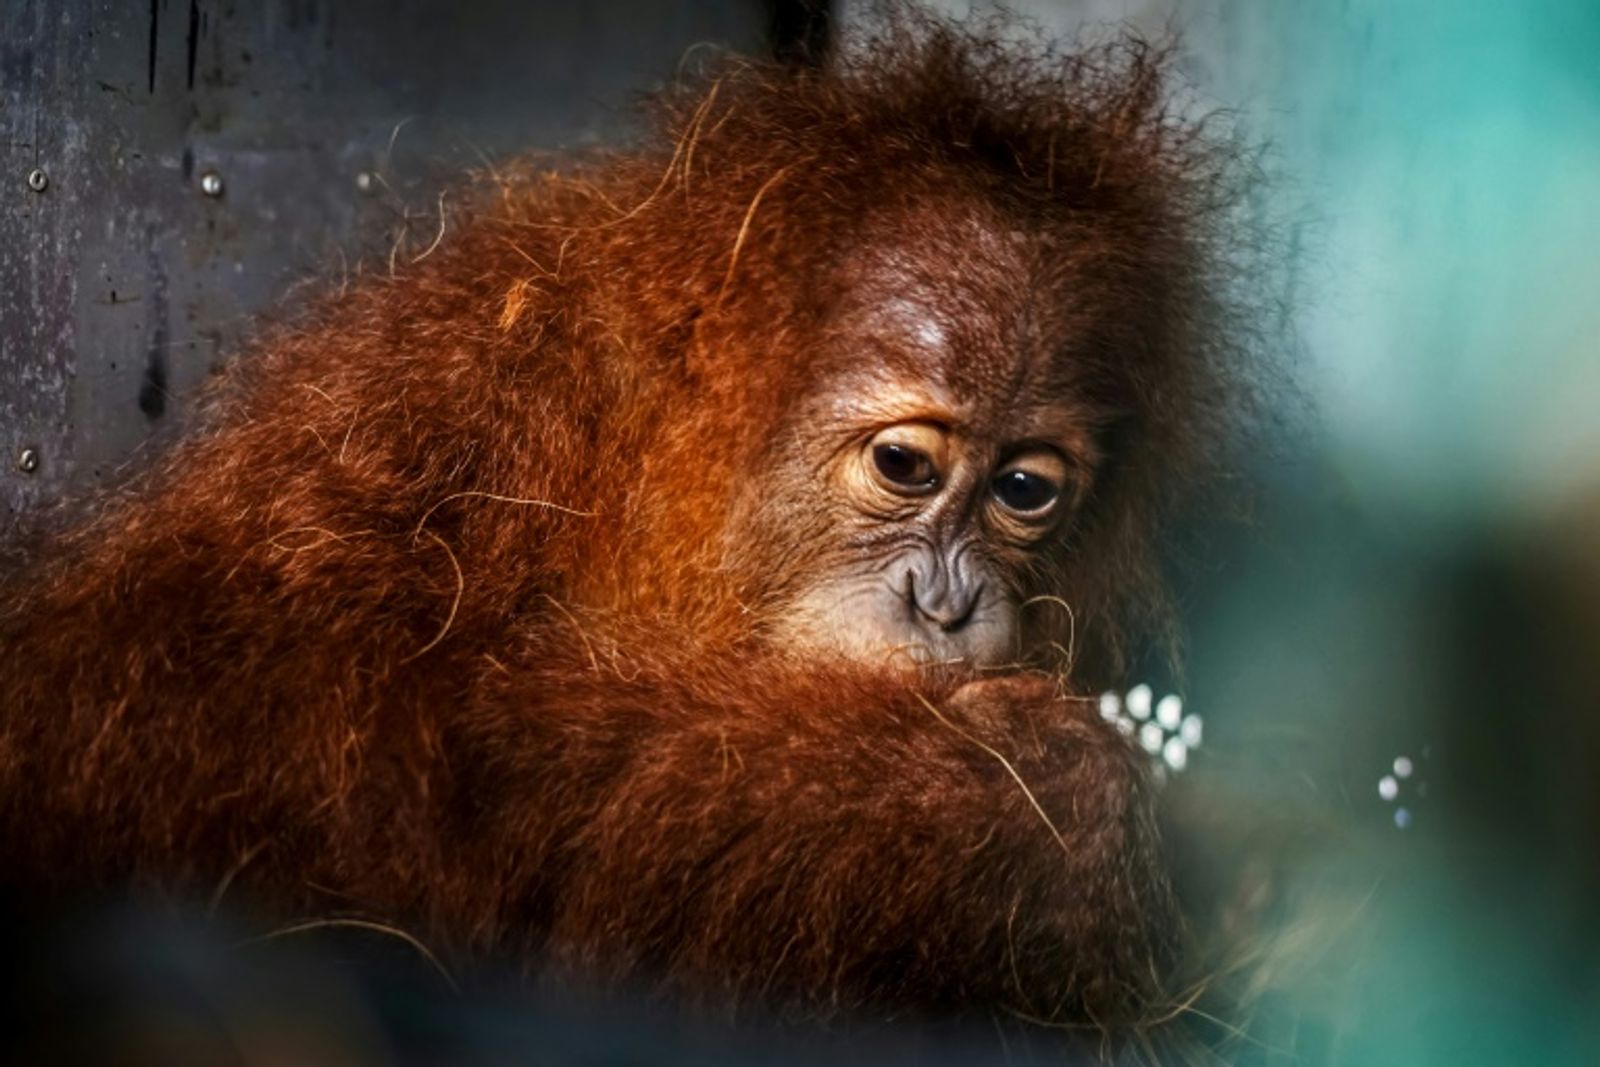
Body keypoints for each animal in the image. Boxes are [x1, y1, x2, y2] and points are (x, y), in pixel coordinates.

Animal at [0, 14, 1258, 1039]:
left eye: (1024, 490)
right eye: (904, 463)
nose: (946, 602)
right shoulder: (443, 404)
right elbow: (278, 713)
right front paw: (1010, 797)